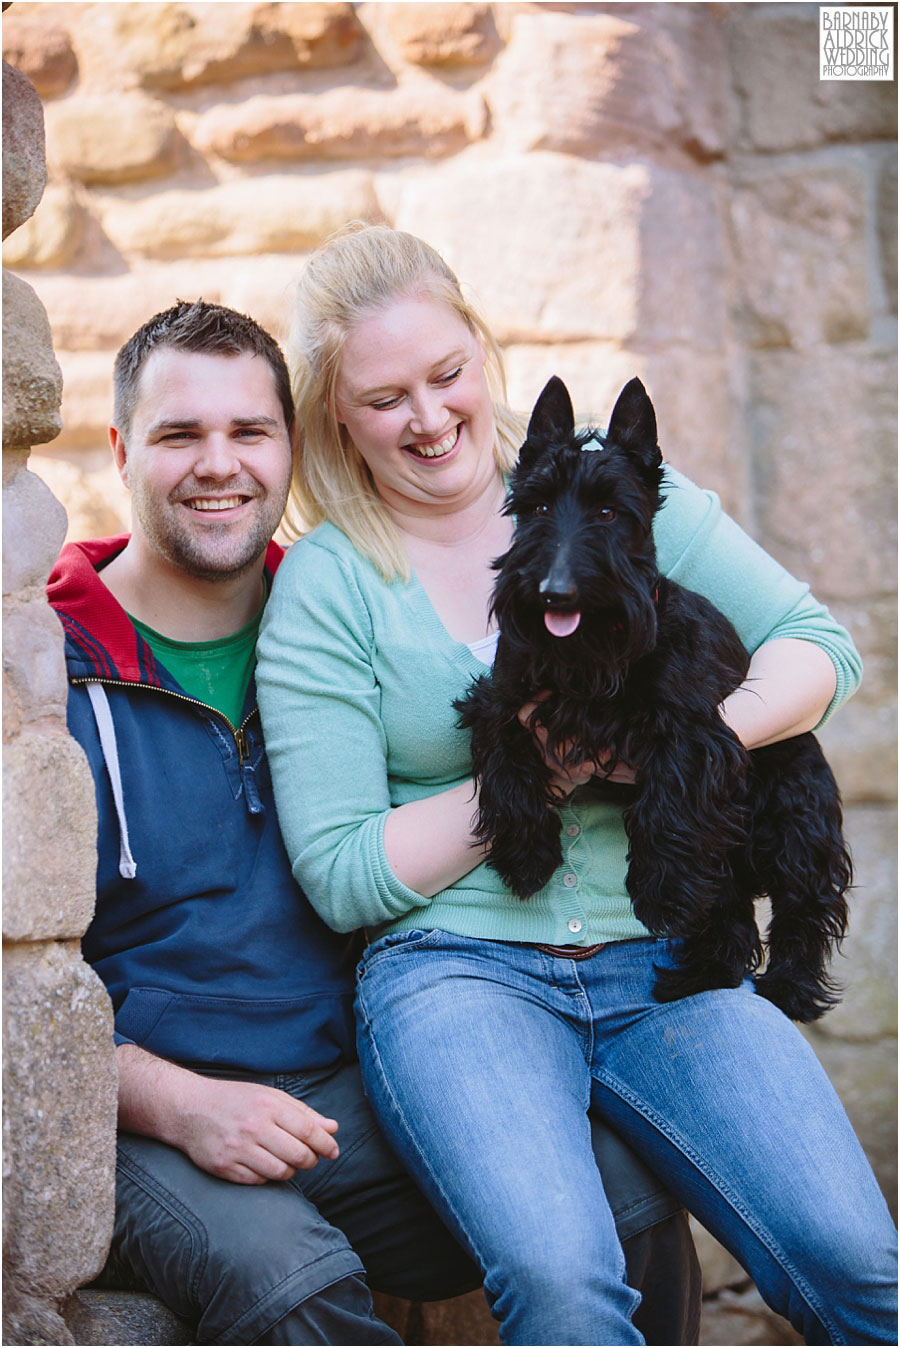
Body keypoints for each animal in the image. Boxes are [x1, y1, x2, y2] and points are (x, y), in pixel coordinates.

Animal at [458, 374, 851, 1013]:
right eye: (536, 507)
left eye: (609, 511)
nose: (553, 591)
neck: (587, 655)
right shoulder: (499, 702)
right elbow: (505, 768)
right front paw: (528, 857)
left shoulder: (690, 733)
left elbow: (667, 805)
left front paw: (660, 897)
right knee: (728, 911)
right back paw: (697, 974)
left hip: (795, 826)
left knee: (803, 908)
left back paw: (788, 988)